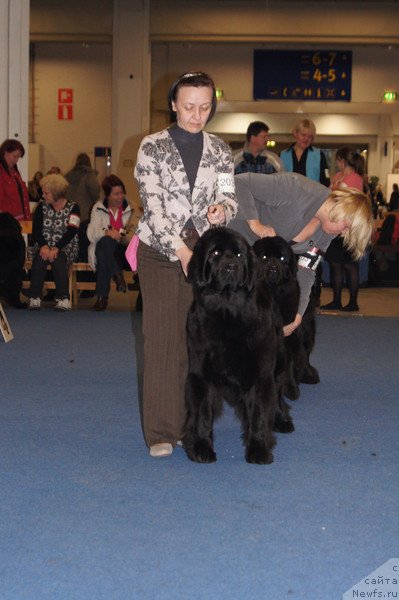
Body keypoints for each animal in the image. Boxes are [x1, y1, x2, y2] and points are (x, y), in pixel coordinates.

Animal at [183, 227, 292, 466]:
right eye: (215, 253)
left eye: (239, 254)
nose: (231, 266)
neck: (227, 312)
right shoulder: (200, 372)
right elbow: (203, 413)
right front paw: (202, 448)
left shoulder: (261, 372)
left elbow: (259, 413)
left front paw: (258, 449)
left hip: (279, 361)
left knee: (278, 393)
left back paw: (282, 419)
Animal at [255, 237, 320, 400]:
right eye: (264, 257)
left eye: (282, 259)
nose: (273, 268)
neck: (273, 293)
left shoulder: (288, 333)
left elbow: (288, 363)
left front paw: (290, 388)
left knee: (304, 354)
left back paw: (308, 375)